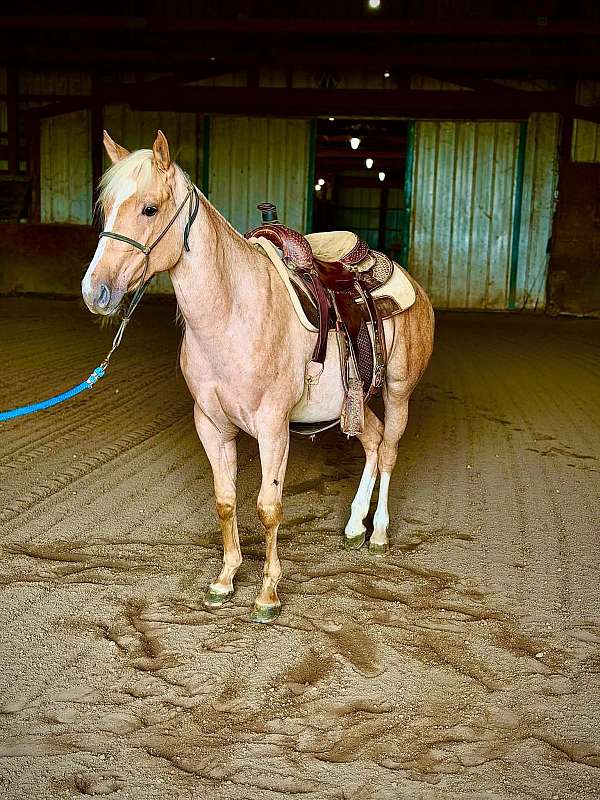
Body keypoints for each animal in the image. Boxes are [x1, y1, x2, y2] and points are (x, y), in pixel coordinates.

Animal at [82, 130, 434, 623]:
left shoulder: (273, 427)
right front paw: (225, 579)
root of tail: (410, 282)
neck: (233, 312)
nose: (95, 291)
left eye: (149, 208)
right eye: (107, 206)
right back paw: (353, 525)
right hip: (355, 404)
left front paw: (267, 594)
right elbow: (225, 500)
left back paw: (379, 532)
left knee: (388, 451)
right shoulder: (211, 424)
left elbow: (269, 507)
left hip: (399, 393)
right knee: (373, 440)